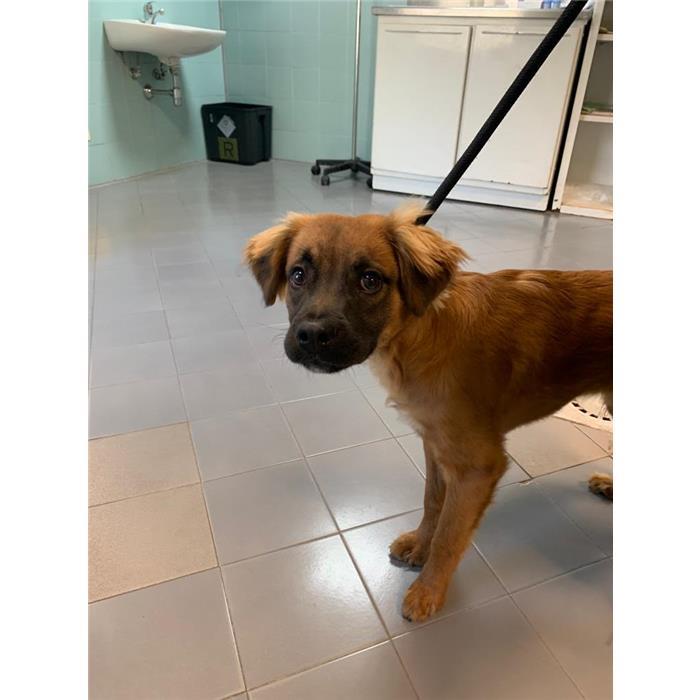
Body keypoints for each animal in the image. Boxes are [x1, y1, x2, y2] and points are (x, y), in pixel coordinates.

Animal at [245, 201, 612, 622]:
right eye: (298, 274)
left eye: (370, 280)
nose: (313, 336)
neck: (419, 336)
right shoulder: (435, 443)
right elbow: (433, 500)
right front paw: (420, 544)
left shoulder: (477, 467)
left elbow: (451, 535)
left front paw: (428, 591)